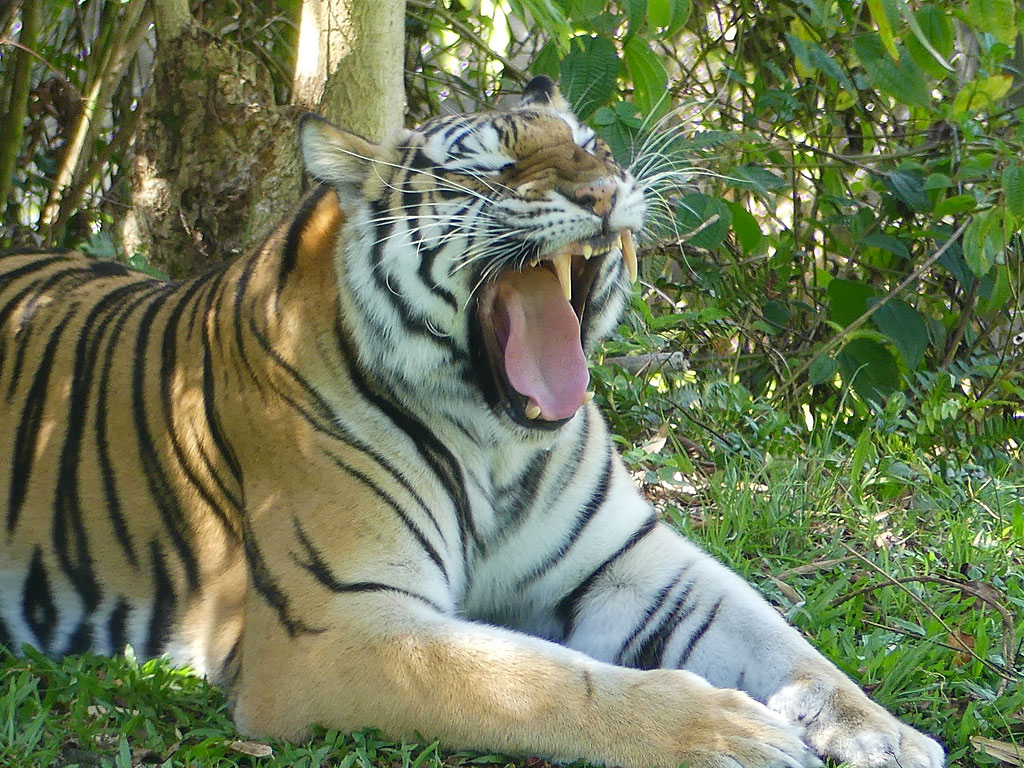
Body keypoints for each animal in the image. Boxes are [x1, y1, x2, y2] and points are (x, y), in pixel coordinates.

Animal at [0, 75, 943, 768]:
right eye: (489, 170)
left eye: (591, 147)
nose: (605, 191)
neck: (497, 437)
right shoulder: (336, 626)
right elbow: (545, 679)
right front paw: (732, 734)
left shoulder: (633, 566)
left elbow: (790, 647)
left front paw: (888, 735)